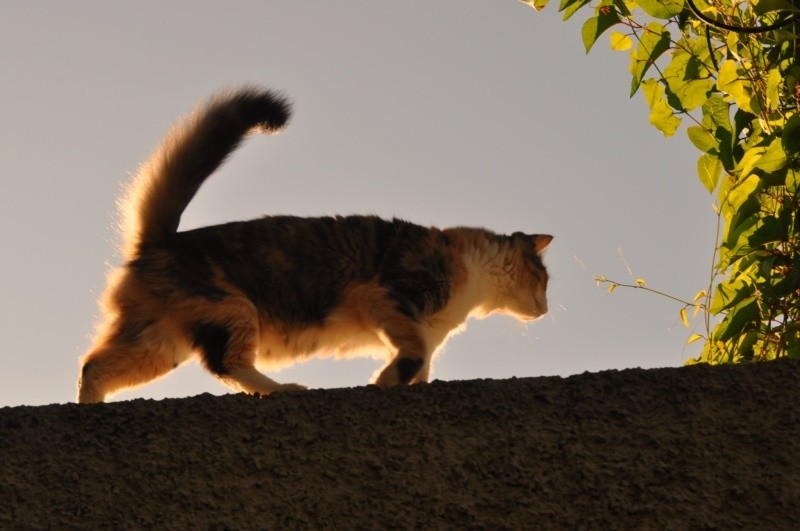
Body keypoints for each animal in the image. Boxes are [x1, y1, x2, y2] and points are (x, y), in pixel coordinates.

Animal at [76, 87, 552, 404]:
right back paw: (283, 388)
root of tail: (160, 241)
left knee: (95, 366)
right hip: (231, 310)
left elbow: (423, 363)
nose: (547, 309)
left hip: (158, 343)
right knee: (226, 364)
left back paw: (90, 407)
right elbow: (413, 353)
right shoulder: (386, 297)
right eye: (545, 280)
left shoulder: (421, 328)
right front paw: (384, 381)